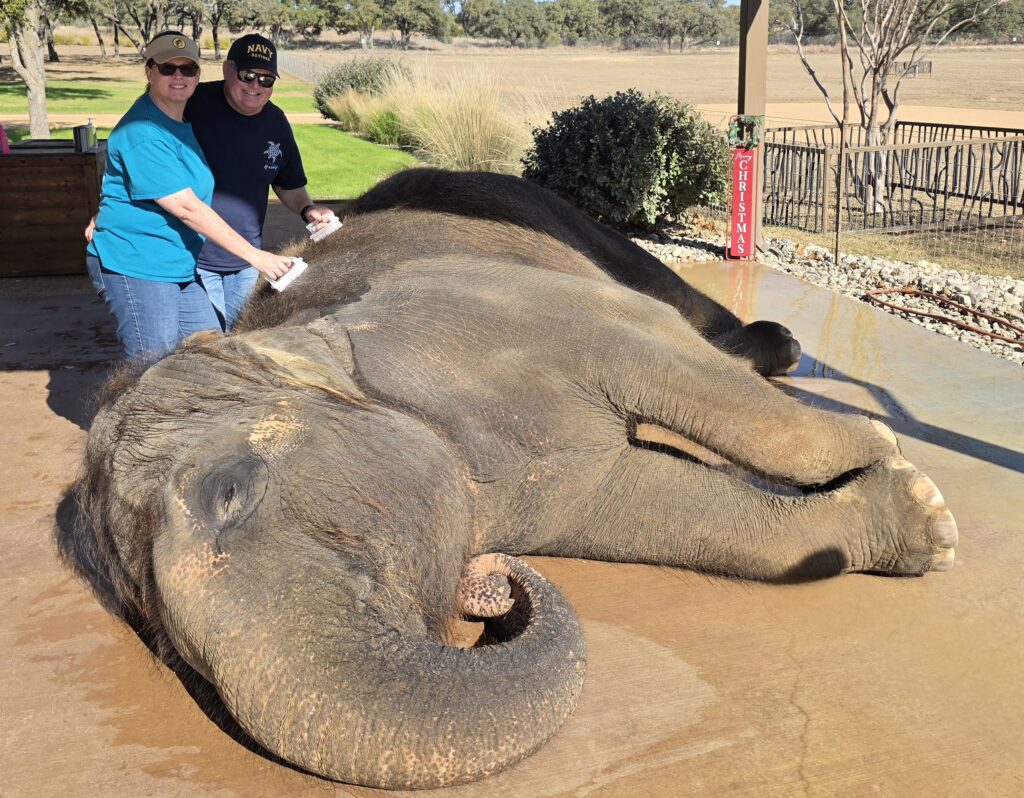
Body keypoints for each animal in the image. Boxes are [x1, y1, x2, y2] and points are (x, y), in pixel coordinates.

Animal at [71, 168, 957, 790]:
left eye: (231, 491)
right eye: (161, 640)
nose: (494, 581)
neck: (305, 344)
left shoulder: (488, 309)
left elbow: (664, 356)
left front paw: (897, 461)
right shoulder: (548, 493)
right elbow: (664, 510)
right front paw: (919, 523)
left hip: (541, 212)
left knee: (669, 298)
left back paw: (778, 349)